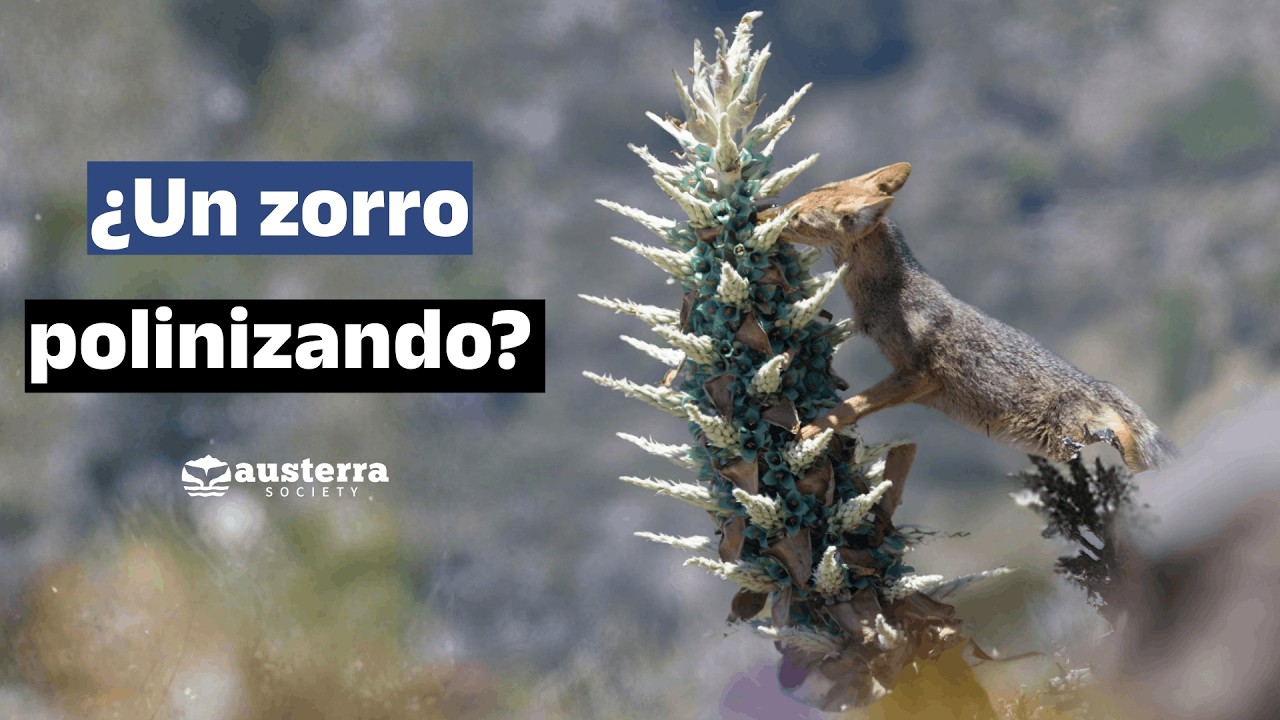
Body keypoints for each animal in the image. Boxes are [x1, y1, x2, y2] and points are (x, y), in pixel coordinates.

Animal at [765, 162, 1177, 473]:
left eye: (797, 218)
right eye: (798, 197)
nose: (763, 214)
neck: (891, 291)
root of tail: (1099, 385)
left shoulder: (915, 377)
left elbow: (849, 408)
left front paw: (808, 431)